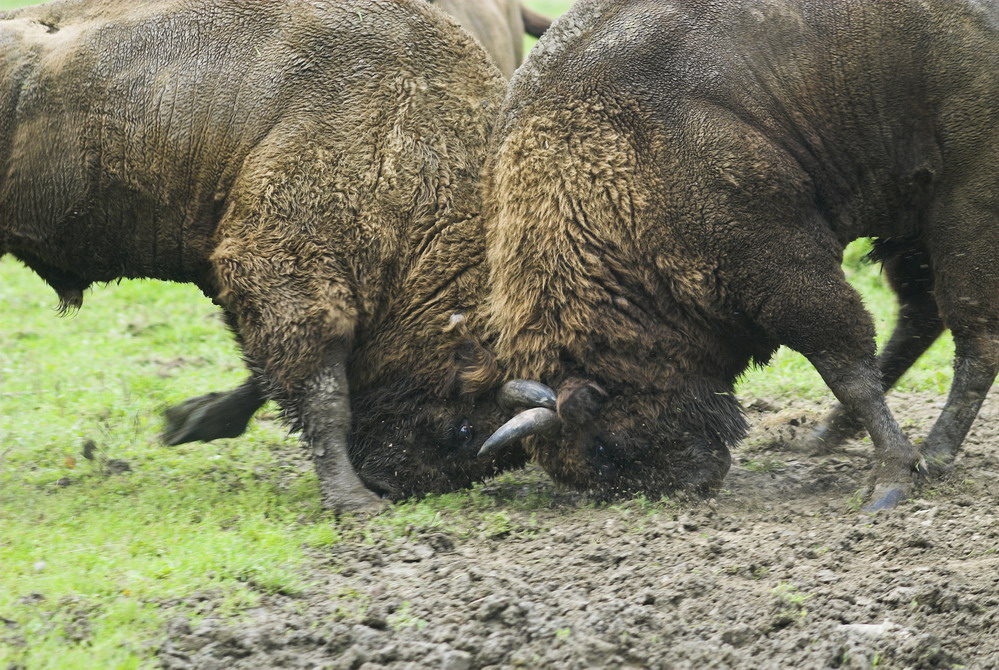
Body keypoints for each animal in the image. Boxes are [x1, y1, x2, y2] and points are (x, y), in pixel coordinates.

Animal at [476, 0, 999, 512]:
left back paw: (934, 456)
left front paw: (891, 479)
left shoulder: (782, 266)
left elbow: (846, 364)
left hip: (962, 207)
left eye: (604, 444)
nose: (685, 487)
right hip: (912, 219)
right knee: (923, 317)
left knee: (973, 334)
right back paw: (821, 437)